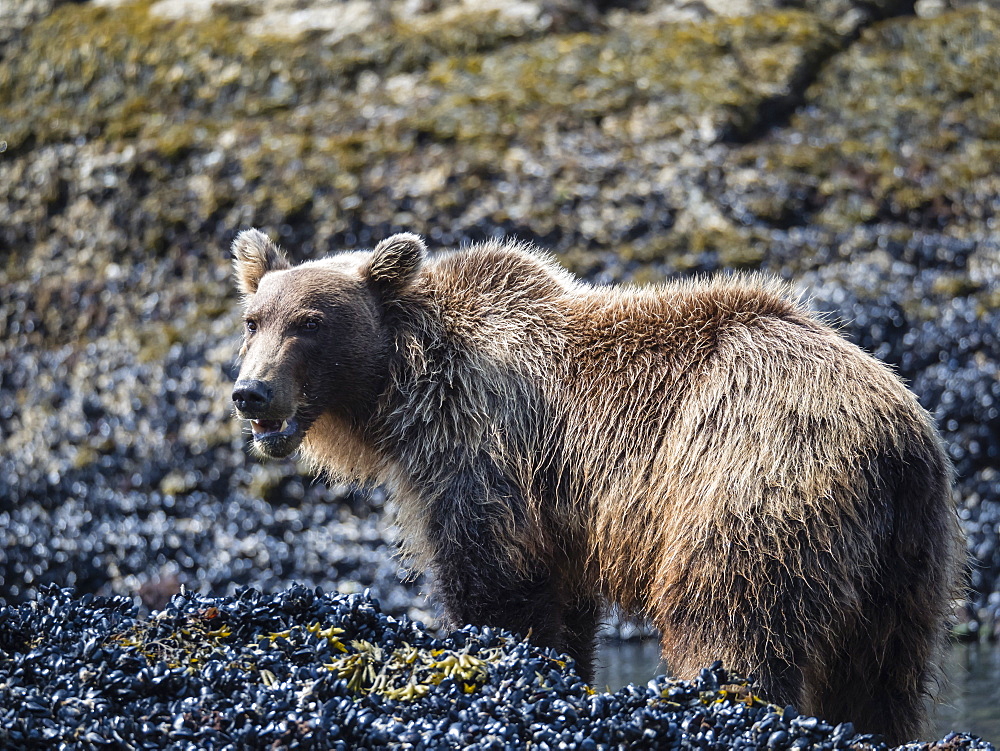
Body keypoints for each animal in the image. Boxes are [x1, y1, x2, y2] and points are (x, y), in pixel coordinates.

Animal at [230, 231, 964, 748]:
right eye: (253, 319)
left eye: (310, 322)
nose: (251, 393)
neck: (411, 386)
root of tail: (894, 431)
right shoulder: (565, 514)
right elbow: (568, 609)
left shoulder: (486, 452)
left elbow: (494, 583)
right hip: (909, 550)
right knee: (884, 670)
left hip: (750, 479)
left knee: (732, 621)